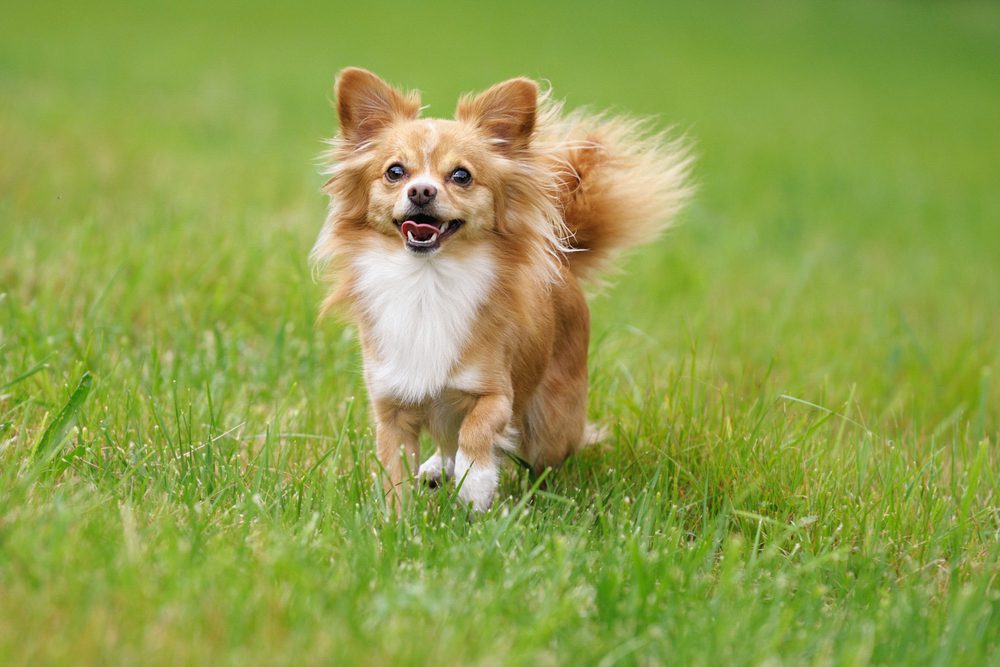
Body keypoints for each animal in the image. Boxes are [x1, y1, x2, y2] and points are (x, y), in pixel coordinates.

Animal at [316, 68, 692, 512]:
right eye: (395, 172)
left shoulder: (495, 392)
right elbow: (395, 471)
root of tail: (561, 261)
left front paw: (476, 485)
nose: (421, 190)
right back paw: (436, 468)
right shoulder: (391, 405)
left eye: (461, 175)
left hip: (550, 425)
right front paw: (396, 518)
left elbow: (478, 429)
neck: (426, 281)